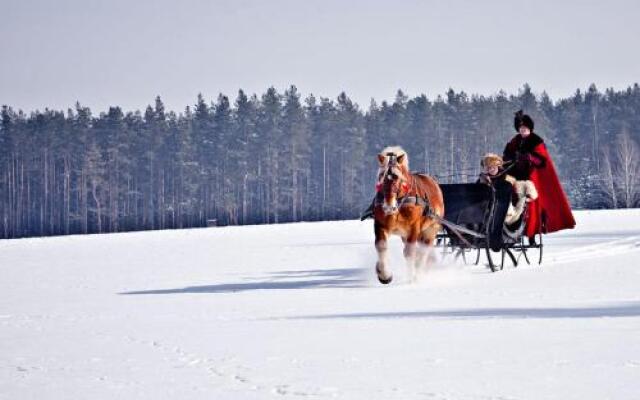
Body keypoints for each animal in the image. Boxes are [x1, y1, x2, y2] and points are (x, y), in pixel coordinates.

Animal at [372, 147, 442, 284]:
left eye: (397, 177)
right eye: (381, 176)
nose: (389, 207)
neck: (400, 203)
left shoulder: (413, 228)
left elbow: (410, 253)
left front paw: (411, 278)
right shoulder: (380, 225)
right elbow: (381, 246)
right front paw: (384, 274)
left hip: (430, 230)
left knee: (423, 251)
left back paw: (418, 273)